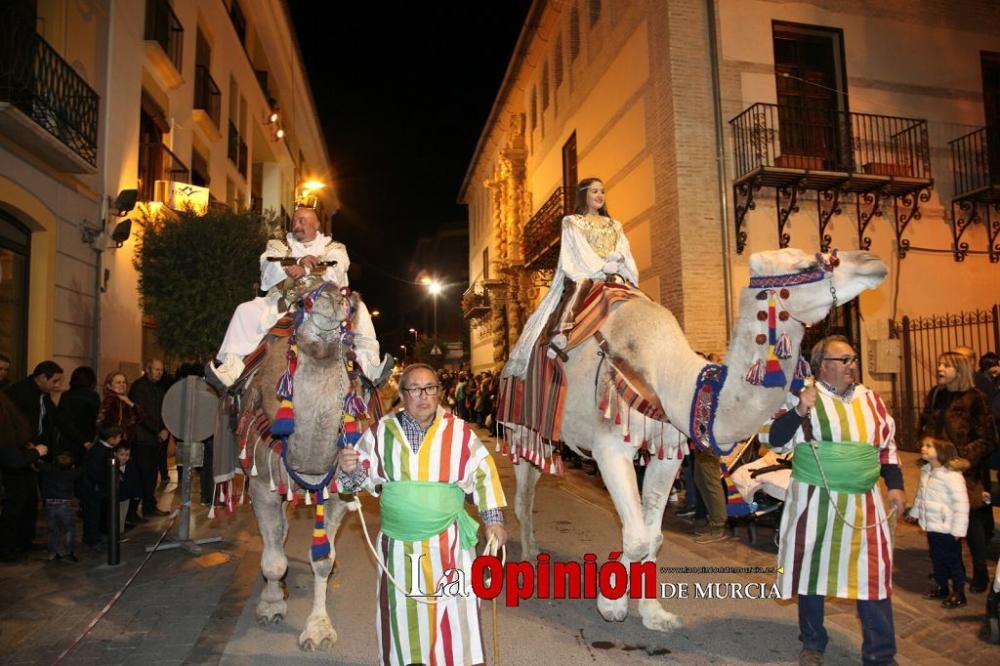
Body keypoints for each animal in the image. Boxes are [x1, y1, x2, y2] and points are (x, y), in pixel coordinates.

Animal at [512, 248, 888, 628]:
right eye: (807, 264)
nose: (872, 261)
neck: (671, 379)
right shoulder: (610, 448)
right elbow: (636, 538)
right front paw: (611, 605)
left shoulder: (669, 452)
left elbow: (653, 536)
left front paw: (653, 613)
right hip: (521, 429)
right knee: (523, 496)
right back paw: (527, 556)